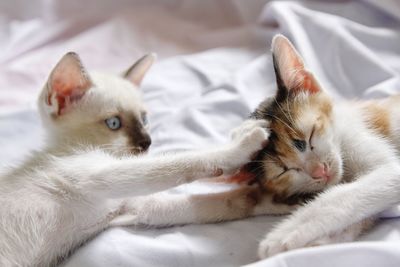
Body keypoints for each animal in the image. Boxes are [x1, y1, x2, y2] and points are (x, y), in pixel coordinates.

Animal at [0, 52, 268, 267]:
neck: (69, 148)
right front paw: (242, 145)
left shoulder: (135, 206)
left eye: (144, 119)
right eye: (114, 123)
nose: (147, 142)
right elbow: (181, 161)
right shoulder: (100, 176)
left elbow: (220, 205)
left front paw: (270, 201)